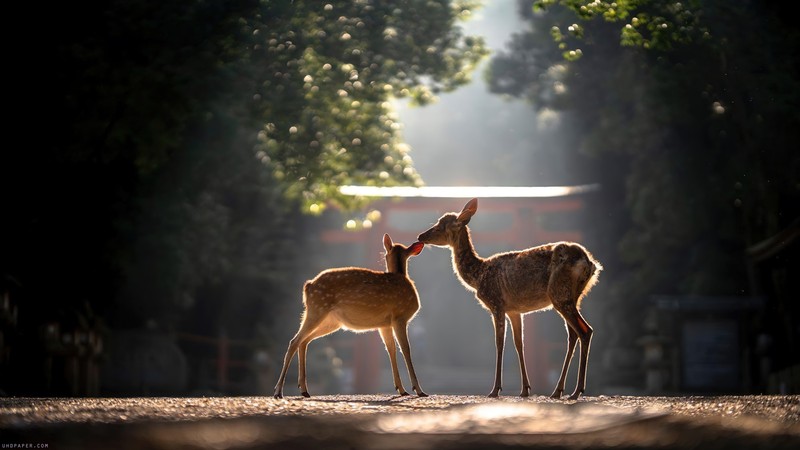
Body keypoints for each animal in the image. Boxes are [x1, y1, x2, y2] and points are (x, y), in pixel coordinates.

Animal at [274, 234, 428, 400]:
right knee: (295, 341)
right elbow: (406, 349)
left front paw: (401, 389)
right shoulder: (400, 316)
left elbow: (391, 349)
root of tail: (308, 286)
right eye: (385, 255)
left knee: (304, 341)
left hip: (330, 320)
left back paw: (304, 390)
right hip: (317, 308)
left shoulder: (385, 324)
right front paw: (418, 390)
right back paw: (278, 391)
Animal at [418, 199, 600, 400]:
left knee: (585, 330)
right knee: (573, 334)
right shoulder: (514, 310)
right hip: (574, 296)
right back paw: (558, 391)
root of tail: (590, 263)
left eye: (440, 226)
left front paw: (495, 390)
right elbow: (519, 343)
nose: (420, 236)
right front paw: (525, 389)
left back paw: (576, 391)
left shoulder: (496, 303)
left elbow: (499, 343)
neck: (478, 275)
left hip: (559, 294)